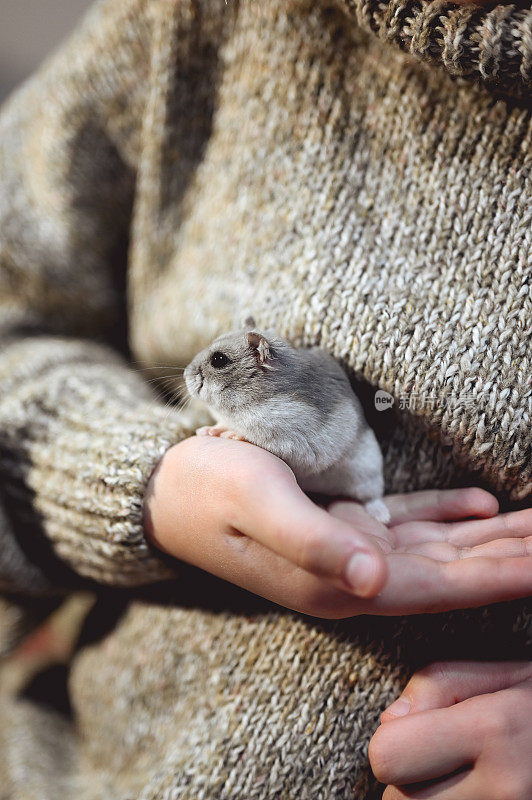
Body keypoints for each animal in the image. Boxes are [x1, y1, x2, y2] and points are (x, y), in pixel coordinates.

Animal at [184, 322, 390, 520]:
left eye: (219, 360)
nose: (185, 373)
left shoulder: (291, 439)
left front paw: (232, 434)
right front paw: (207, 430)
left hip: (368, 472)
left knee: (373, 497)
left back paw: (382, 517)